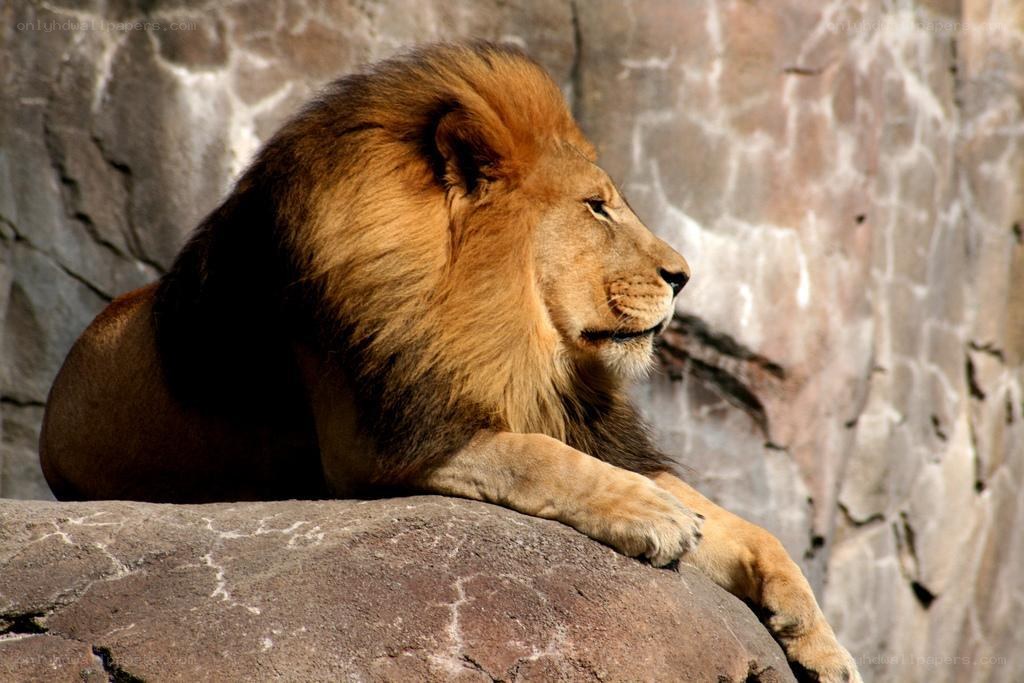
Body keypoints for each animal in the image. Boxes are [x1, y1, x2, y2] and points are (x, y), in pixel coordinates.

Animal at [39, 42, 859, 681]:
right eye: (597, 206)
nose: (683, 276)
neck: (513, 332)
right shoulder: (384, 443)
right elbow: (537, 458)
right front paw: (650, 514)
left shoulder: (577, 421)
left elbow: (747, 528)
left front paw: (817, 635)